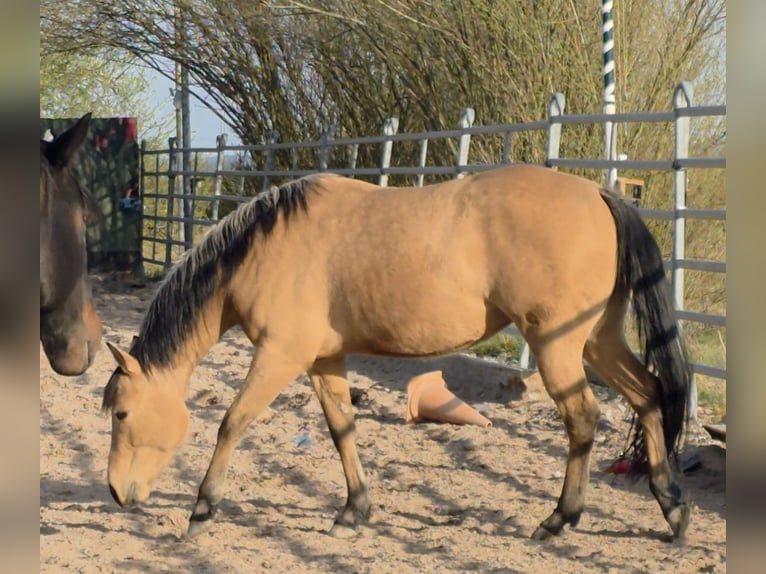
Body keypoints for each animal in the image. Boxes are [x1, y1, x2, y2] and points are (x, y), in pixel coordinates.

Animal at [102, 164, 692, 541]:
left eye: (123, 413)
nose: (115, 493)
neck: (265, 249)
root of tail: (600, 194)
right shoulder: (322, 361)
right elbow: (342, 429)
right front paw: (354, 511)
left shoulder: (280, 356)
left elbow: (232, 422)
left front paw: (202, 508)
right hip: (598, 340)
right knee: (648, 395)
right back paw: (670, 506)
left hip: (557, 347)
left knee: (584, 419)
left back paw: (559, 519)